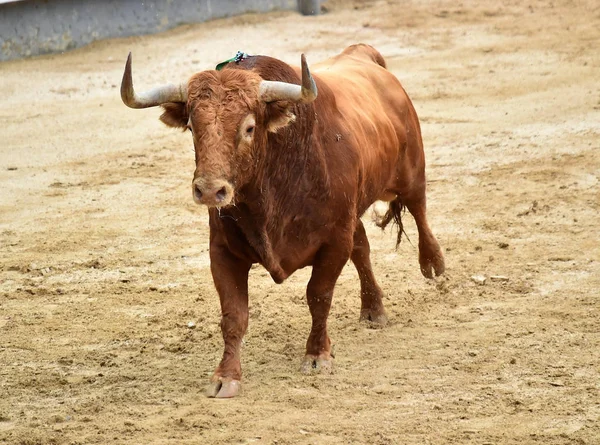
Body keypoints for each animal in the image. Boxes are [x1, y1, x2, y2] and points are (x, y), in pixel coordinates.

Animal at [120, 45, 446, 398]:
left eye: (249, 128)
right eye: (193, 128)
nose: (209, 190)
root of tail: (362, 54)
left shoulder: (333, 242)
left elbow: (318, 296)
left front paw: (317, 356)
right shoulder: (222, 252)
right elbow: (233, 314)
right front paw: (226, 376)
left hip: (411, 172)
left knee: (419, 211)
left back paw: (434, 264)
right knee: (362, 247)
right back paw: (373, 309)